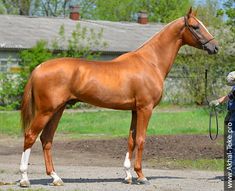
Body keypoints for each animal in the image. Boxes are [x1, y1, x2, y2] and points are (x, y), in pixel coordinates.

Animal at [19, 7, 218, 187]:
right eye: (196, 27)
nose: (215, 47)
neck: (150, 62)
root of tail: (39, 68)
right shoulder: (145, 109)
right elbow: (141, 139)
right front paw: (141, 176)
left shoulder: (135, 110)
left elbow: (131, 140)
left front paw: (128, 175)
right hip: (46, 111)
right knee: (30, 136)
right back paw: (24, 179)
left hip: (58, 110)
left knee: (46, 139)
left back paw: (56, 178)